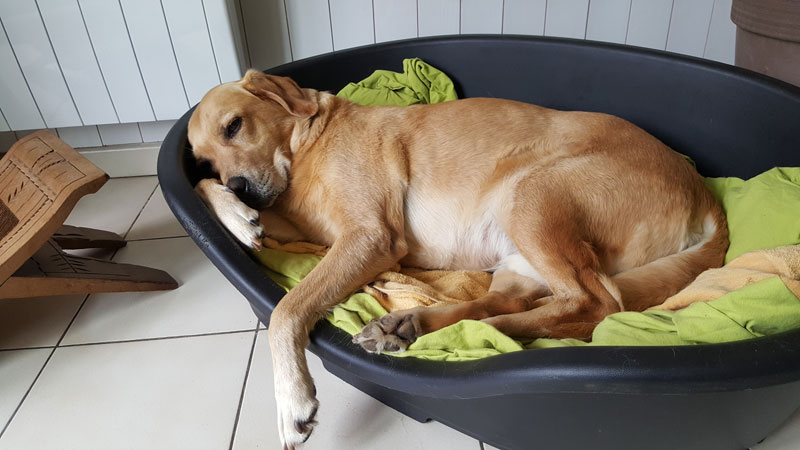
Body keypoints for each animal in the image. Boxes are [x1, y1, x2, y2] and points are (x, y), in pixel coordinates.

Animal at [191, 69, 728, 446]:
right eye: (204, 158)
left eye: (235, 126)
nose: (241, 187)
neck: (306, 144)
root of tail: (705, 195)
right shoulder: (310, 227)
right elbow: (202, 189)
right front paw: (237, 216)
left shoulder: (369, 237)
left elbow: (288, 308)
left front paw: (292, 401)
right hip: (516, 257)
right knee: (521, 305)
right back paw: (412, 325)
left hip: (533, 196)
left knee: (594, 306)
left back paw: (474, 339)